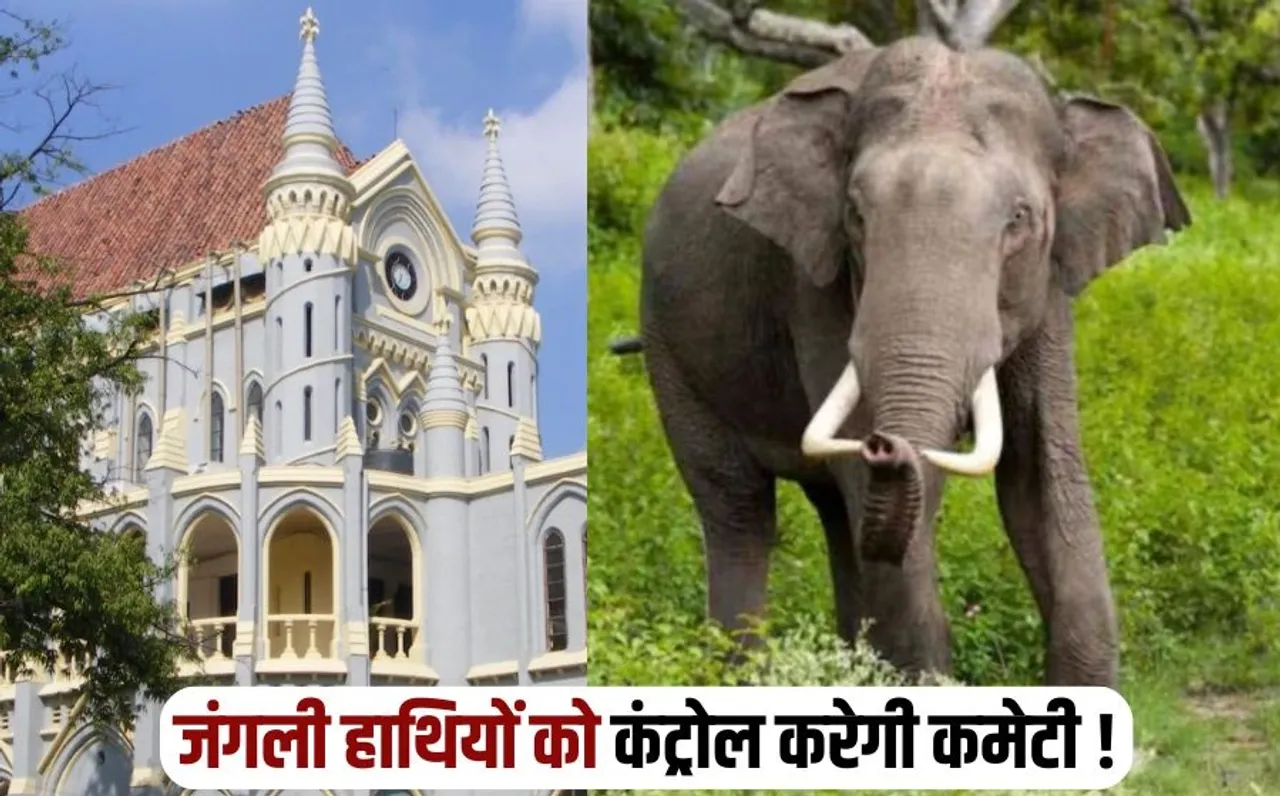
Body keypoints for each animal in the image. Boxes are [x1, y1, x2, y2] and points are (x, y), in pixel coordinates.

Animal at [616, 36, 1190, 687]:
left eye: (1020, 219)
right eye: (856, 215)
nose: (886, 444)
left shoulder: (1049, 289)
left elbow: (1041, 474)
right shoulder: (814, 282)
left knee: (836, 515)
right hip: (669, 347)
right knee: (740, 509)